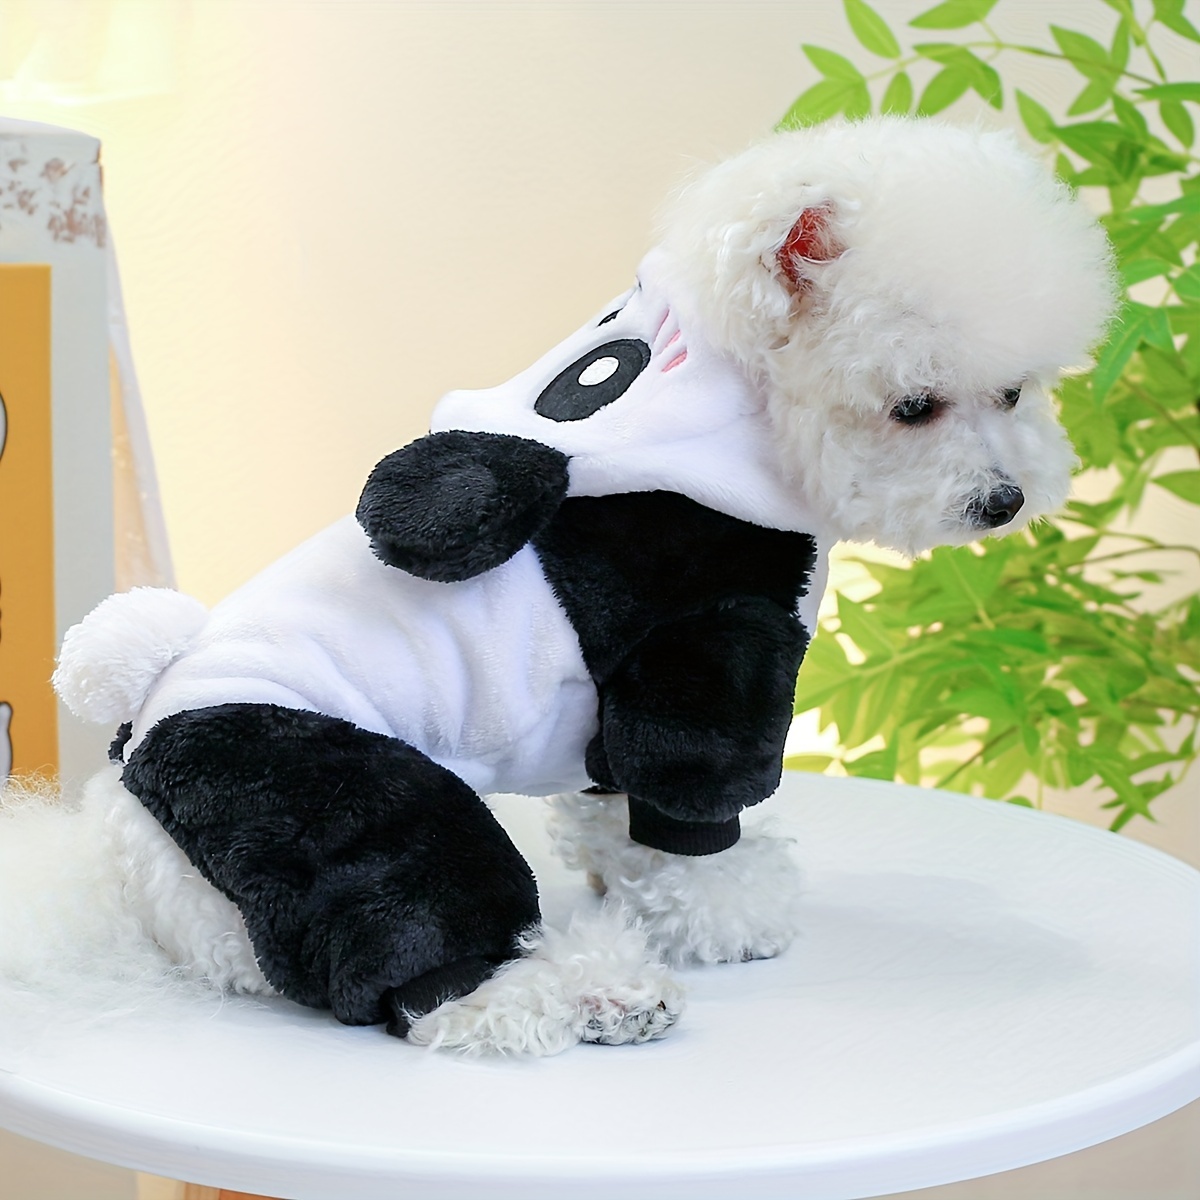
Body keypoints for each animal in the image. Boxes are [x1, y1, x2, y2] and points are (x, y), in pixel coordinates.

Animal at [7, 119, 1113, 1051]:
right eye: (914, 405)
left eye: (1013, 392)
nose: (1004, 500)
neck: (731, 401)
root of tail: (120, 851)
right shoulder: (709, 638)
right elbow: (692, 792)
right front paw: (725, 910)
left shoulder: (617, 702)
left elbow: (615, 794)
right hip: (303, 797)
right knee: (420, 946)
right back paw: (588, 995)